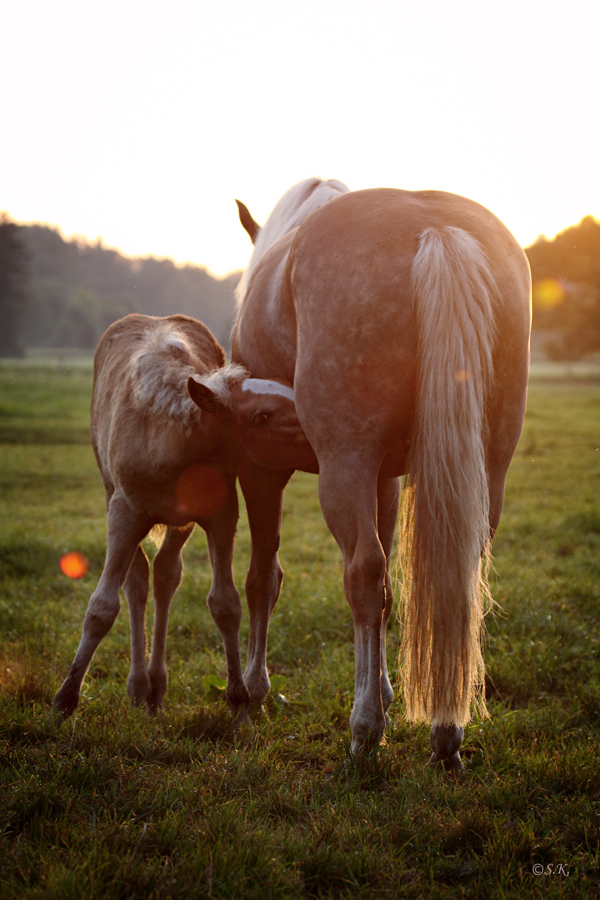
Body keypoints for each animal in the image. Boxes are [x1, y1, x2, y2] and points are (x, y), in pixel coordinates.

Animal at [54, 312, 308, 720]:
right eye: (261, 415)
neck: (169, 440)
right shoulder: (124, 513)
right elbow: (101, 607)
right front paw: (65, 698)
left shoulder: (221, 512)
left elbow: (225, 603)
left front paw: (238, 697)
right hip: (114, 495)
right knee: (138, 579)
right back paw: (138, 684)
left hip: (181, 521)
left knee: (165, 573)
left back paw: (155, 685)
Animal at [224, 179, 528, 768]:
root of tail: (434, 229)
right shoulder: (386, 478)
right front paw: (384, 689)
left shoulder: (260, 467)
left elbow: (262, 579)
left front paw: (252, 690)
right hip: (488, 466)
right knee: (455, 578)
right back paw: (444, 734)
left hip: (344, 465)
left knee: (363, 574)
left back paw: (365, 731)